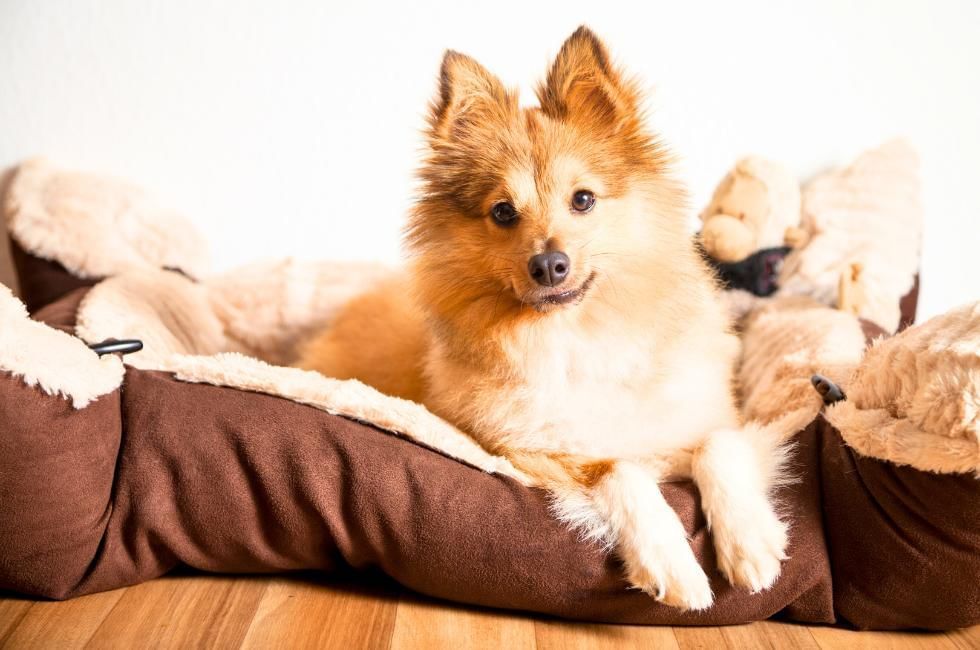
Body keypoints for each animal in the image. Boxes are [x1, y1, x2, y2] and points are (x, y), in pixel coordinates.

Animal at [298, 27, 788, 612]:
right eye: (503, 212)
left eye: (584, 199)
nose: (550, 265)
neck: (576, 337)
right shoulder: (525, 451)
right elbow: (617, 468)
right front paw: (671, 560)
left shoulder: (703, 419)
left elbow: (720, 446)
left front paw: (751, 543)